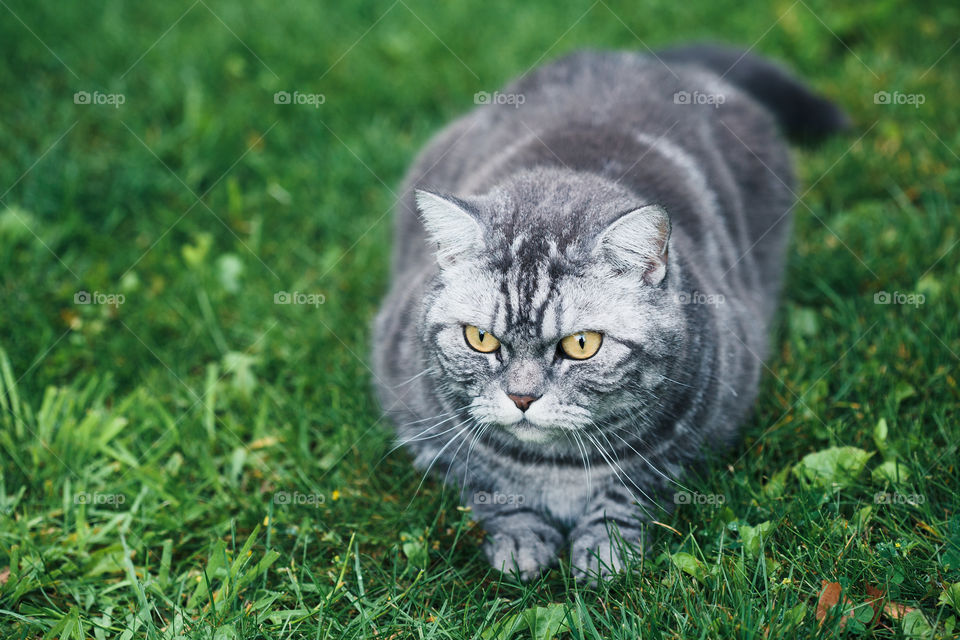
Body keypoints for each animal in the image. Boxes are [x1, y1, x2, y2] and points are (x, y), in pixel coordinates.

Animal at [372, 45, 844, 580]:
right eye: (481, 339)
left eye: (582, 345)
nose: (521, 398)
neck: (554, 469)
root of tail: (628, 54)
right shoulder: (421, 430)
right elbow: (488, 486)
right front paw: (520, 540)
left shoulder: (692, 443)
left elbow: (629, 490)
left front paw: (605, 551)